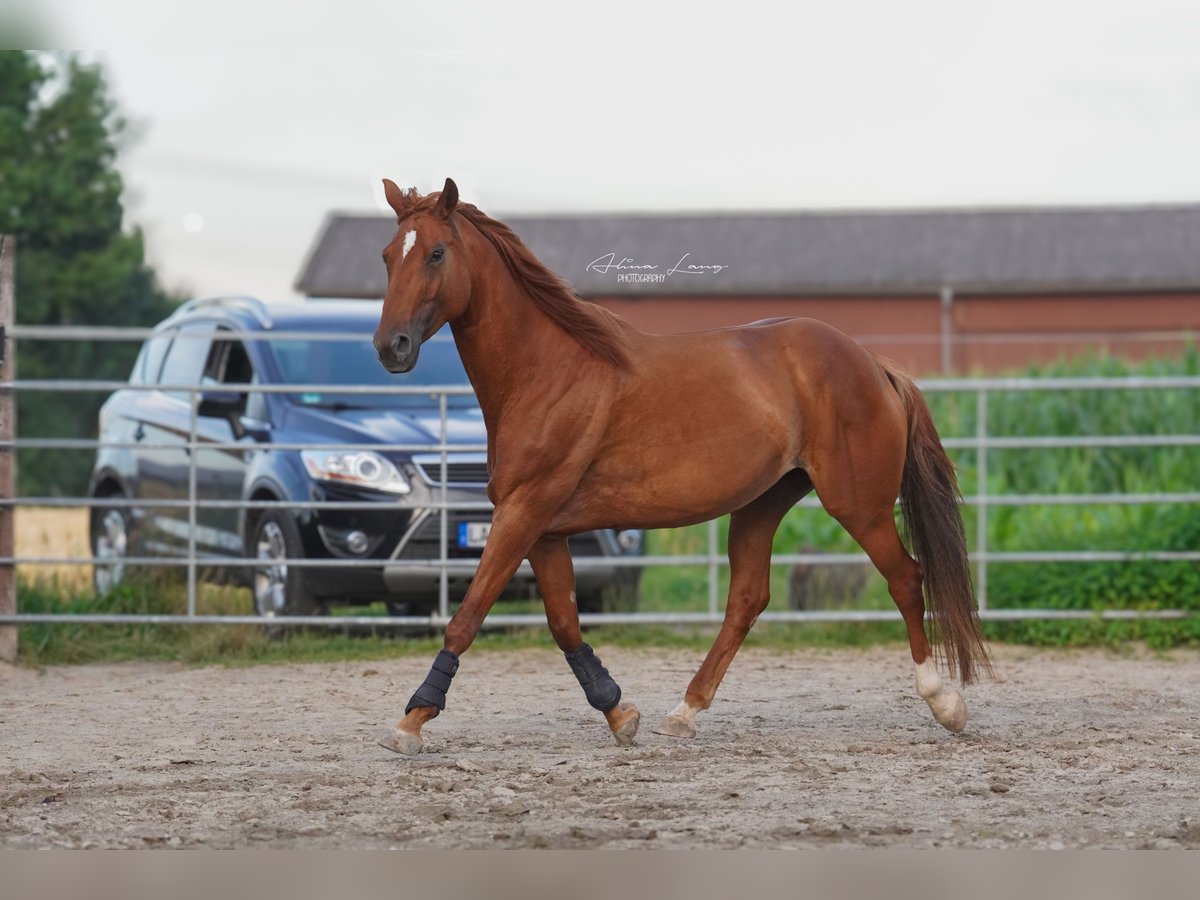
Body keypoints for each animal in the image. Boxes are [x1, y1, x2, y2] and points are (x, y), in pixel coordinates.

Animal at [372, 176, 984, 753]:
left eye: (435, 253)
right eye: (387, 255)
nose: (390, 347)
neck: (546, 370)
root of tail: (873, 363)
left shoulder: (523, 512)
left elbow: (467, 616)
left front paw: (410, 722)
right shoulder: (544, 529)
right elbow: (565, 624)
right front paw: (619, 713)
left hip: (858, 505)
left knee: (905, 578)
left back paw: (945, 704)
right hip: (763, 503)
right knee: (747, 600)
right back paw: (684, 712)